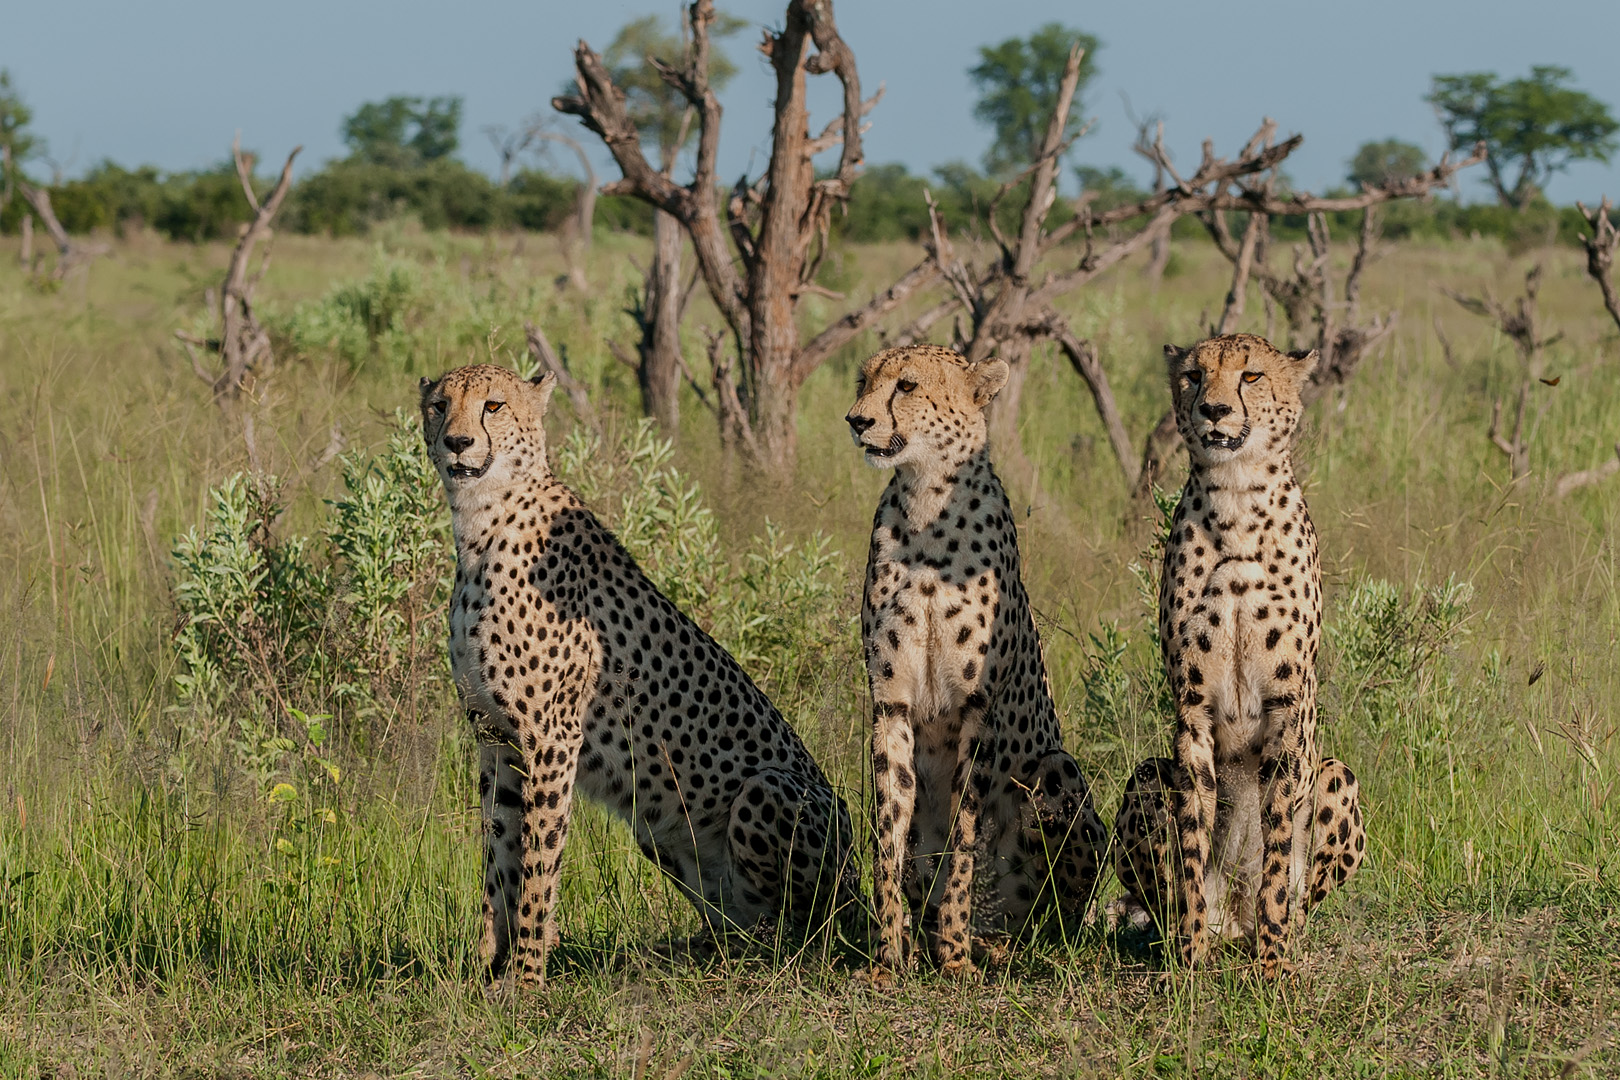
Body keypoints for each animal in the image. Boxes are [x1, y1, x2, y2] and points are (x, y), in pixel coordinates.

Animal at [424, 362, 868, 990]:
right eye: (439, 405)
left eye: (493, 406)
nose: (458, 442)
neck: (480, 521)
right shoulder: (495, 737)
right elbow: (499, 855)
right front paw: (490, 964)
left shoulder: (550, 737)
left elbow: (537, 861)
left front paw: (527, 976)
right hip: (655, 827)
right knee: (743, 924)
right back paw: (706, 948)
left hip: (767, 792)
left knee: (808, 928)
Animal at [842, 344, 1108, 977]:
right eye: (864, 380)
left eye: (906, 385)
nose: (857, 420)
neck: (926, 506)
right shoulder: (890, 704)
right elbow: (888, 835)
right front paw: (888, 958)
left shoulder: (976, 707)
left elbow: (965, 832)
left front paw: (956, 956)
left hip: (1057, 768)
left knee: (1050, 918)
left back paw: (996, 942)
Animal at [1108, 331, 1360, 977]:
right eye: (1194, 375)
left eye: (1250, 376)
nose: (1214, 410)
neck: (1237, 499)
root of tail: (1235, 924)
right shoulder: (1192, 708)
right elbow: (1195, 836)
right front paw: (1191, 959)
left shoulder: (1287, 708)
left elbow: (1277, 841)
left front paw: (1273, 965)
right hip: (1147, 777)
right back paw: (1192, 936)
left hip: (1337, 774)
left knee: (1301, 891)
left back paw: (1276, 936)